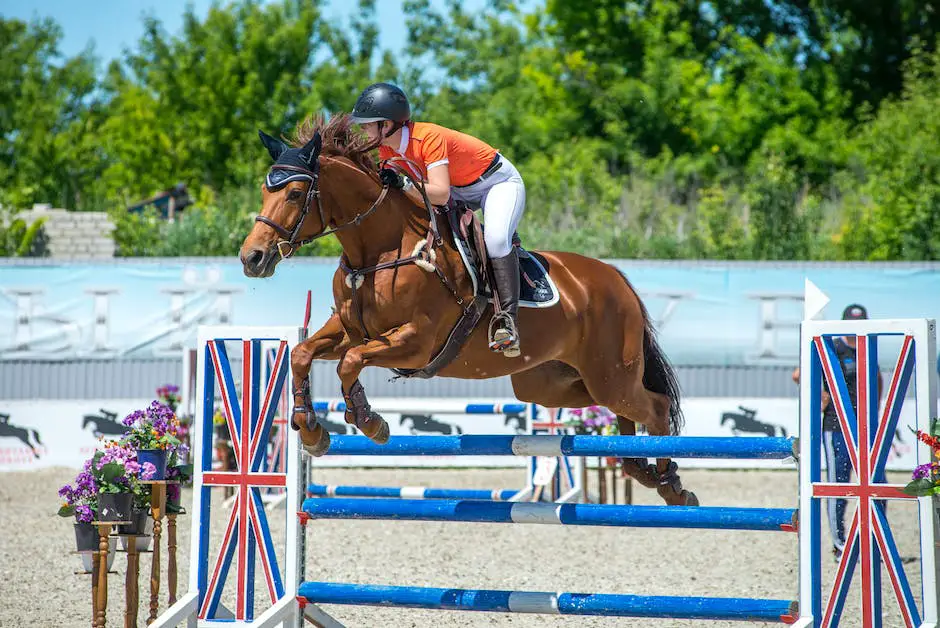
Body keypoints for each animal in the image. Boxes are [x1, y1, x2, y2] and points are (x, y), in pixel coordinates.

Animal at [239, 115, 696, 508]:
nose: (252, 258)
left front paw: (369, 421)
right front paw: (311, 428)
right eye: (263, 191)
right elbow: (304, 353)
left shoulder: (416, 342)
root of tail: (615, 278)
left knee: (653, 407)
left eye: (295, 193)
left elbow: (350, 362)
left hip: (610, 374)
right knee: (615, 412)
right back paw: (641, 467)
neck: (380, 250)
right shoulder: (351, 330)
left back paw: (670, 484)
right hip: (551, 383)